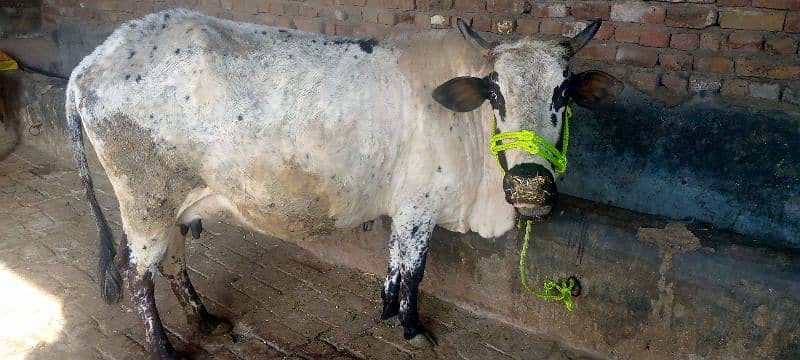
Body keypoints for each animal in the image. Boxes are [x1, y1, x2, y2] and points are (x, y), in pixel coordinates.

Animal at [67, 8, 620, 358]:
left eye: (563, 92)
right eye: (496, 93)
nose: (530, 185)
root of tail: (93, 61)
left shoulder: (406, 210)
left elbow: (394, 268)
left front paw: (388, 312)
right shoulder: (419, 209)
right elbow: (413, 273)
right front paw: (412, 328)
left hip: (175, 205)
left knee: (174, 265)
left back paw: (205, 321)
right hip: (146, 203)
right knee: (138, 275)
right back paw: (164, 349)